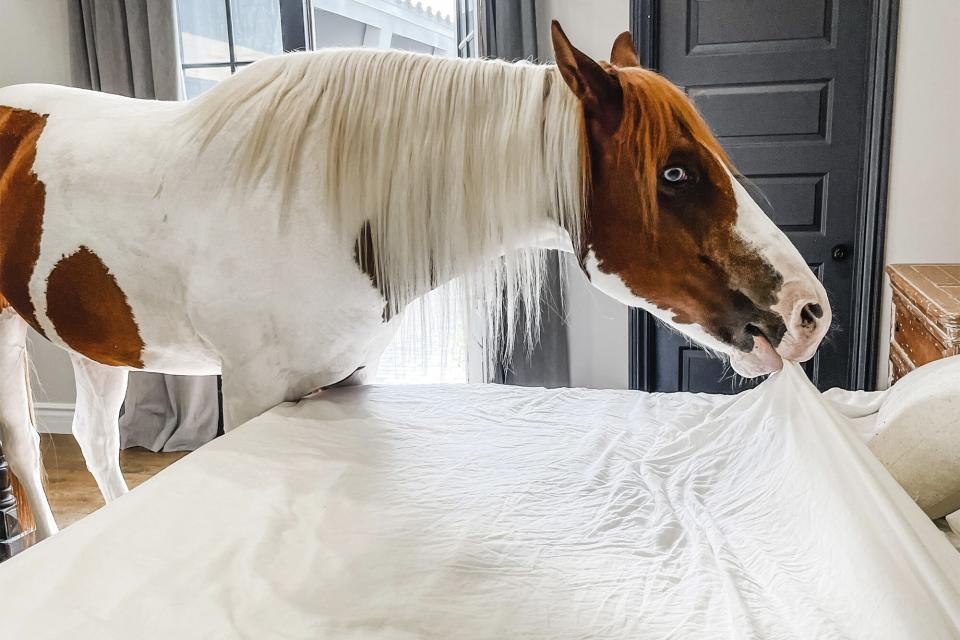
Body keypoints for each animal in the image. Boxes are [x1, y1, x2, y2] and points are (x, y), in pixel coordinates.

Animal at [0, 21, 824, 540]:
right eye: (675, 173)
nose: (809, 312)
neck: (316, 201)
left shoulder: (343, 380)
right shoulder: (257, 394)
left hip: (94, 341)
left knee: (94, 442)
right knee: (26, 446)